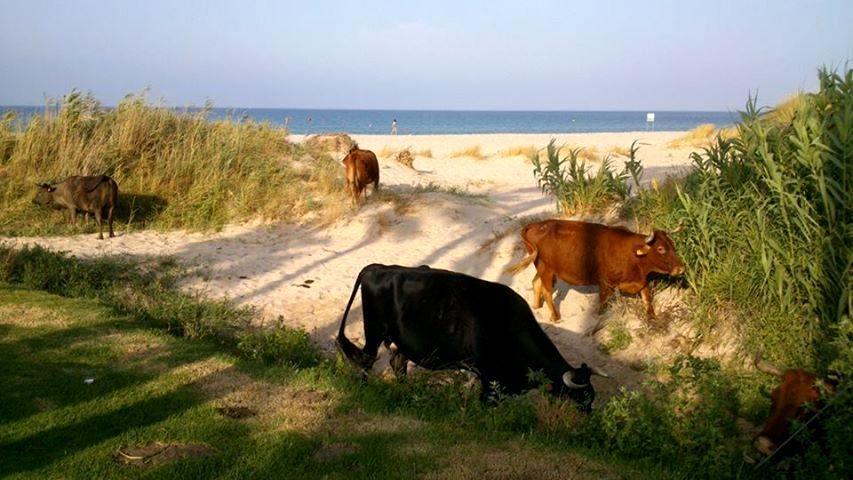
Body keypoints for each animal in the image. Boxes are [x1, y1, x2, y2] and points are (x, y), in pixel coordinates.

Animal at [332, 264, 604, 410]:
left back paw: (405, 392)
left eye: (592, 396)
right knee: (367, 361)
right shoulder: (488, 376)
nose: (589, 414)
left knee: (396, 363)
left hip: (400, 341)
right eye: (582, 397)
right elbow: (486, 403)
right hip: (374, 331)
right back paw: (365, 389)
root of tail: (378, 267)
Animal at [506, 219, 684, 324]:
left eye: (672, 244)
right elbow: (603, 303)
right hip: (546, 269)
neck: (631, 253)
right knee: (547, 291)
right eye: (660, 248)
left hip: (543, 267)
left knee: (536, 282)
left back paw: (536, 306)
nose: (681, 268)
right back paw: (555, 317)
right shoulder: (605, 283)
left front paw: (652, 316)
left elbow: (647, 299)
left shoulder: (641, 281)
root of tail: (534, 225)